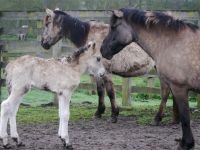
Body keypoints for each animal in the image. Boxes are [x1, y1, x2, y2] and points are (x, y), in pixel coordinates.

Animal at [41, 8, 178, 125]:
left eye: (47, 24)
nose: (43, 43)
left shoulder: (106, 71)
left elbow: (110, 92)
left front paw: (114, 115)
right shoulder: (97, 73)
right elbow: (100, 91)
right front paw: (99, 112)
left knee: (165, 92)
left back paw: (158, 118)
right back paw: (175, 119)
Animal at [101, 8, 200, 150]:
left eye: (113, 26)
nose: (102, 49)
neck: (172, 42)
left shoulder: (179, 88)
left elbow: (185, 118)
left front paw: (186, 144)